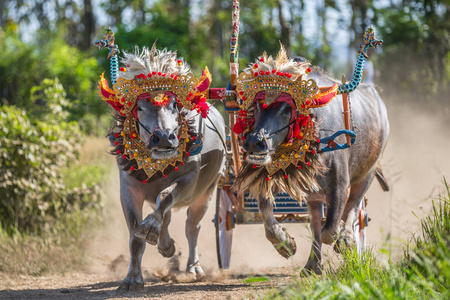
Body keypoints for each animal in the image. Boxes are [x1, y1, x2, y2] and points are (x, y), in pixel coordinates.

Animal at [98, 45, 225, 290]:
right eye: (139, 107)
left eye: (174, 104)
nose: (165, 137)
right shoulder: (128, 190)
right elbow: (135, 238)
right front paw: (132, 278)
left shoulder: (190, 180)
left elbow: (165, 198)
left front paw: (150, 228)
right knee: (167, 219)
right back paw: (166, 246)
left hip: (207, 192)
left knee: (192, 226)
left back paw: (193, 267)